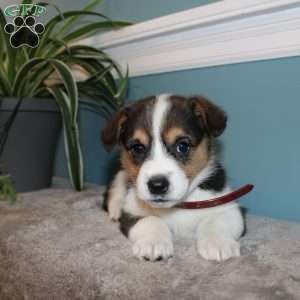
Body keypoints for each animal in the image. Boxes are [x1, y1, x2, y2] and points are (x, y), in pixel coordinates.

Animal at [101, 95, 244, 262]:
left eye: (182, 146)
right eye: (138, 148)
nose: (157, 185)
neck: (178, 206)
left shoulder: (229, 208)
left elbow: (216, 222)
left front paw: (218, 242)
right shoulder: (131, 212)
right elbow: (151, 220)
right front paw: (153, 242)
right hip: (120, 176)